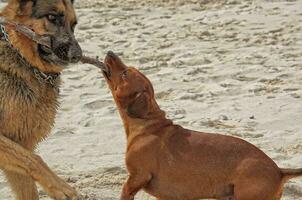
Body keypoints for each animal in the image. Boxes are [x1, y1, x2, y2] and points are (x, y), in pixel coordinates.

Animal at [0, 0, 81, 200]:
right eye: (52, 17)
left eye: (74, 24)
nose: (78, 55)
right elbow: (34, 159)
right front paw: (61, 187)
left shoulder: (19, 143)